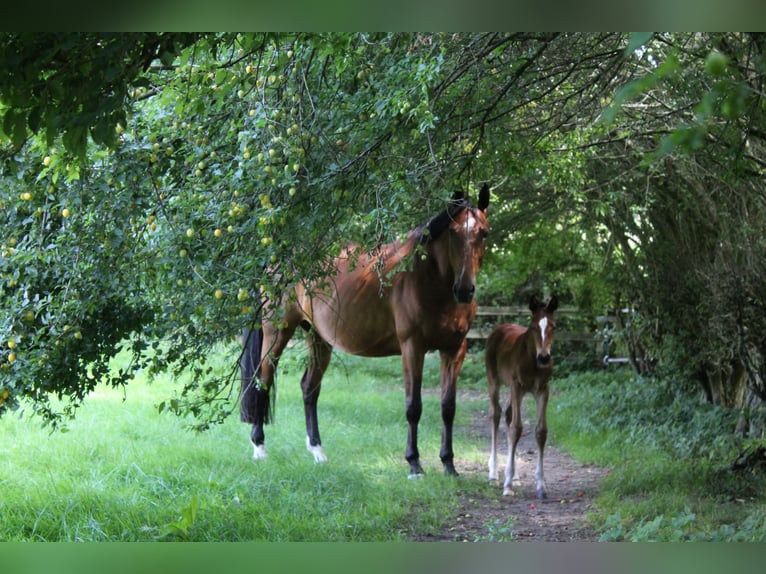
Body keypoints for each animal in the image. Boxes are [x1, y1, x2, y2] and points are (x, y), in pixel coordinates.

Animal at [240, 184, 490, 477]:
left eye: (484, 233)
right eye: (453, 233)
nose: (464, 290)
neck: (427, 279)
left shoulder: (454, 350)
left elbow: (448, 407)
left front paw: (449, 464)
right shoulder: (412, 348)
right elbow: (413, 406)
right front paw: (414, 464)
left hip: (318, 338)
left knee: (309, 388)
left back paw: (318, 452)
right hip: (277, 333)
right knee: (262, 382)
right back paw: (259, 448)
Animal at [486, 295, 558, 498]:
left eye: (553, 326)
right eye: (533, 326)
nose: (544, 358)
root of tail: (500, 328)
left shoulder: (543, 390)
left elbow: (541, 431)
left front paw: (541, 486)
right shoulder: (517, 387)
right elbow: (516, 428)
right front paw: (507, 485)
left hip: (514, 391)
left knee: (508, 414)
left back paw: (515, 475)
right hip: (494, 381)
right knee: (495, 414)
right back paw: (493, 474)